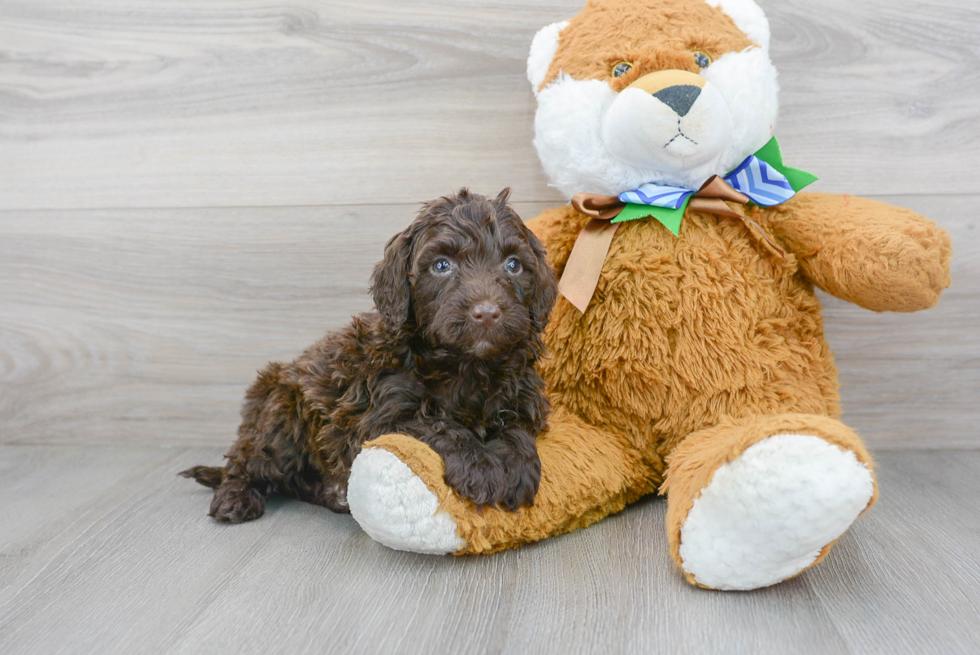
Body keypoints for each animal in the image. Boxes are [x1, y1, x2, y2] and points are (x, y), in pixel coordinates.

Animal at [179, 188, 556, 524]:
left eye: (513, 265)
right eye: (442, 265)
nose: (487, 313)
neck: (467, 365)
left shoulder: (523, 396)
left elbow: (517, 430)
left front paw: (516, 467)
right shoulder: (381, 417)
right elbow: (437, 424)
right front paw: (481, 468)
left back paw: (333, 494)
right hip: (280, 419)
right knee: (244, 463)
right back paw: (235, 498)